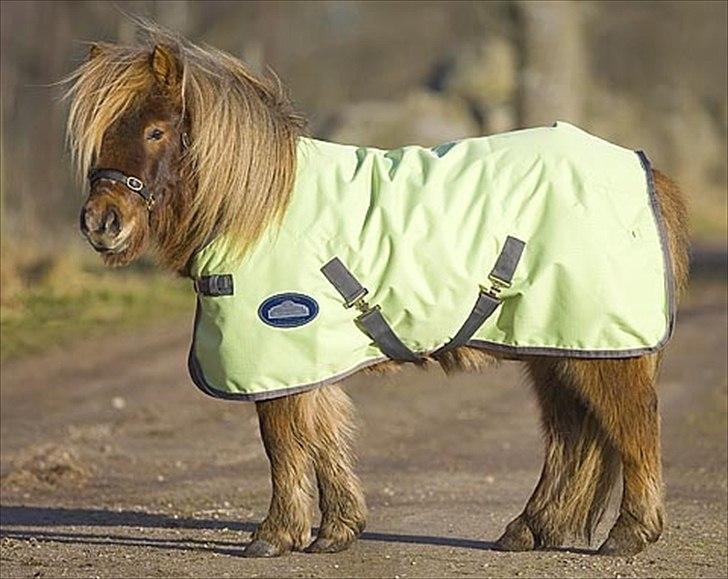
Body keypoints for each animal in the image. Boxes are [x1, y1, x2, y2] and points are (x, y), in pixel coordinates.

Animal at [65, 25, 690, 558]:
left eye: (155, 130)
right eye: (101, 134)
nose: (102, 223)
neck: (260, 208)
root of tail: (646, 173)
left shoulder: (277, 352)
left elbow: (282, 440)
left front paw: (275, 535)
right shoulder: (304, 358)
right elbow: (321, 436)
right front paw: (336, 530)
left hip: (600, 346)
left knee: (633, 427)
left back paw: (629, 535)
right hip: (555, 346)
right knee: (574, 438)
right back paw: (531, 529)